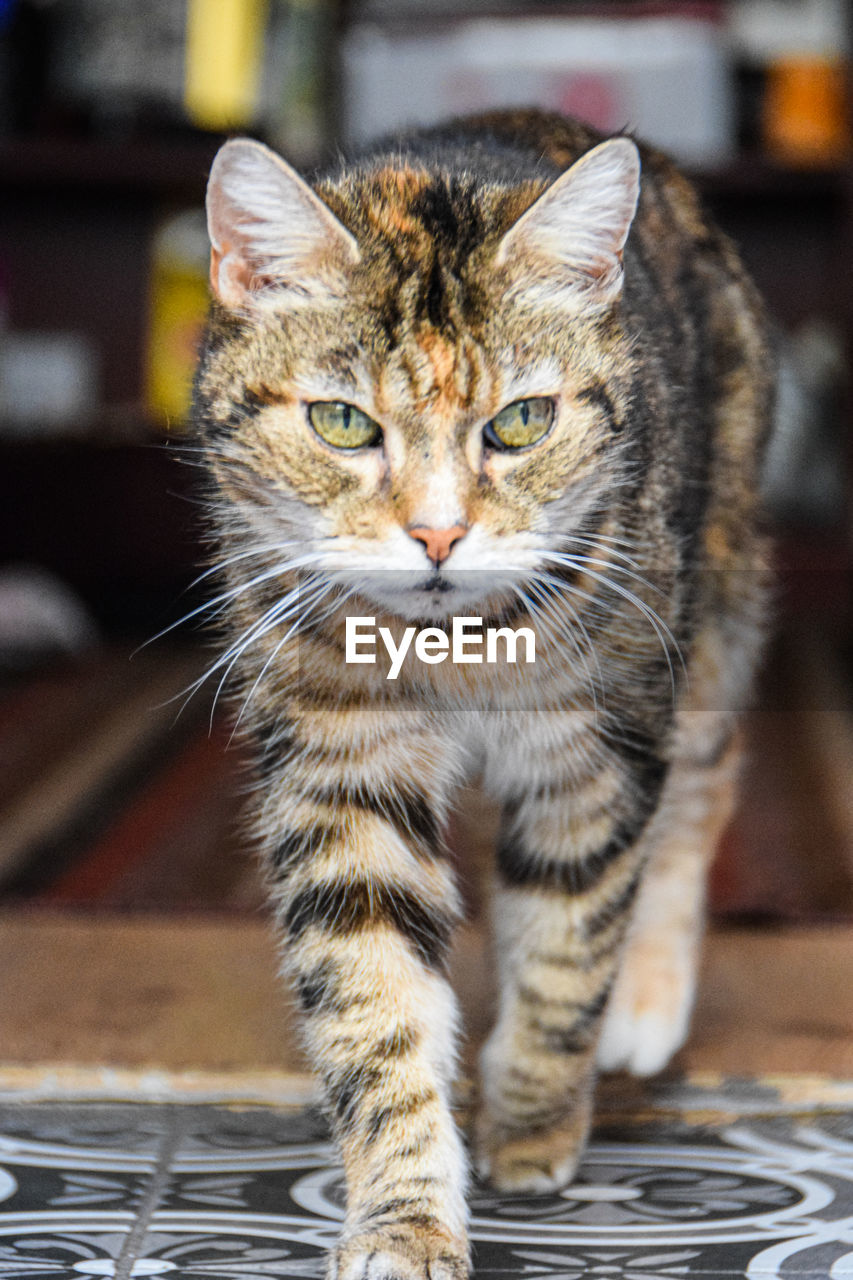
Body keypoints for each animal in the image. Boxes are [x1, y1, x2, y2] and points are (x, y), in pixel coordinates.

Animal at [192, 110, 768, 1280]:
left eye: (521, 422)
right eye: (341, 422)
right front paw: (405, 1221)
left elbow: (566, 939)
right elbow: (373, 997)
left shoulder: (592, 748)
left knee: (702, 784)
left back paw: (645, 1003)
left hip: (712, 600)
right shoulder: (341, 770)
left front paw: (534, 1123)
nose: (438, 533)